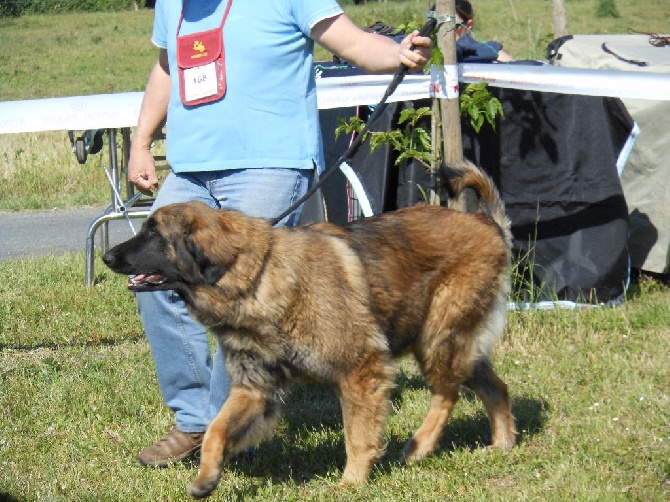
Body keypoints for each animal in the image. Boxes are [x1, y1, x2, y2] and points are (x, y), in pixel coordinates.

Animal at [102, 162, 516, 498]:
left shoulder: (361, 370)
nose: (107, 256)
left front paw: (351, 483)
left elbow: (357, 436)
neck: (255, 276)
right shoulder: (254, 386)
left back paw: (420, 446)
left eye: (154, 235)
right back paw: (501, 445)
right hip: (451, 343)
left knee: (447, 393)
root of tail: (485, 222)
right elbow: (217, 430)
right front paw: (207, 477)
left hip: (437, 338)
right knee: (495, 387)